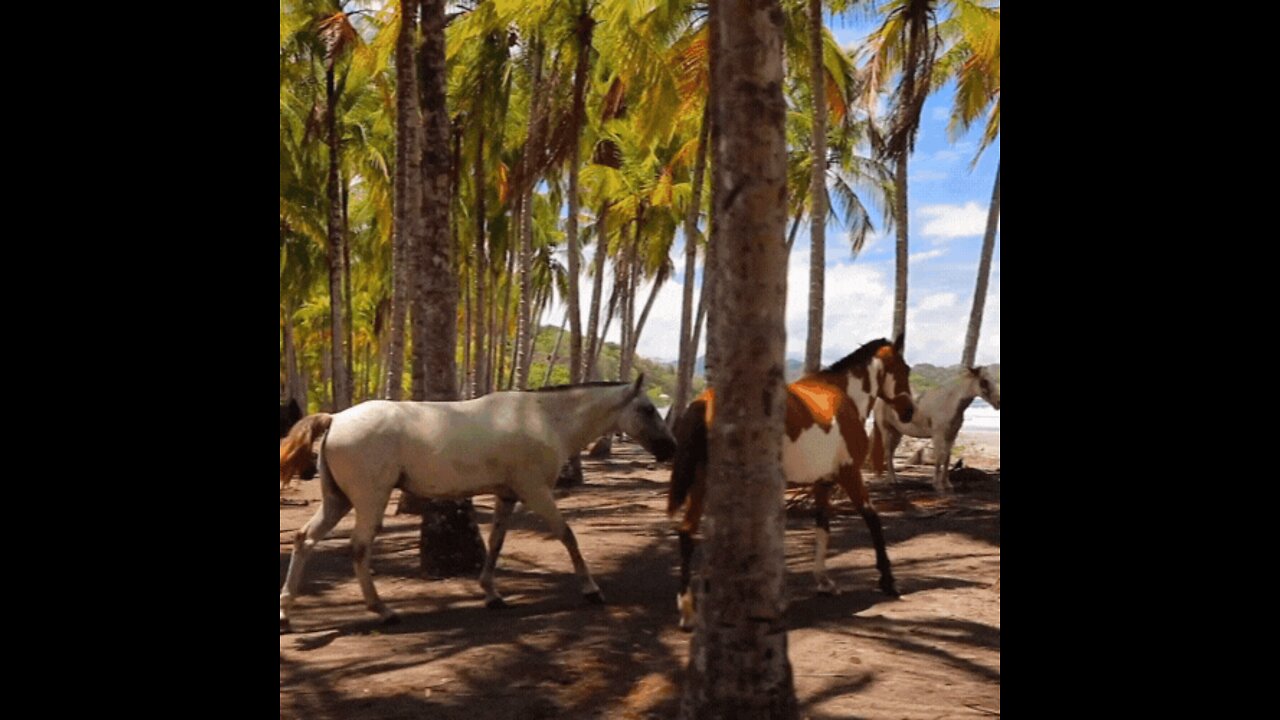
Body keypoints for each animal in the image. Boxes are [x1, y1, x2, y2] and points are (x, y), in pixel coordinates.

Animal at [665, 335, 916, 627]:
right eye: (905, 369)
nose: (909, 411)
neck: (844, 397)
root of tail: (702, 403)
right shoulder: (850, 473)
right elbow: (873, 520)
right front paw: (888, 581)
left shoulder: (823, 482)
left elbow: (823, 528)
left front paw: (823, 582)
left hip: (701, 482)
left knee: (687, 533)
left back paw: (689, 610)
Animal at [870, 363, 998, 491]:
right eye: (984, 381)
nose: (998, 403)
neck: (947, 403)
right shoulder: (938, 435)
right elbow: (939, 457)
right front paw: (937, 485)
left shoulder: (952, 435)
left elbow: (947, 458)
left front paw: (947, 484)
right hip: (886, 431)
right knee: (888, 454)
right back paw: (891, 480)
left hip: (897, 433)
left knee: (891, 454)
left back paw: (894, 479)